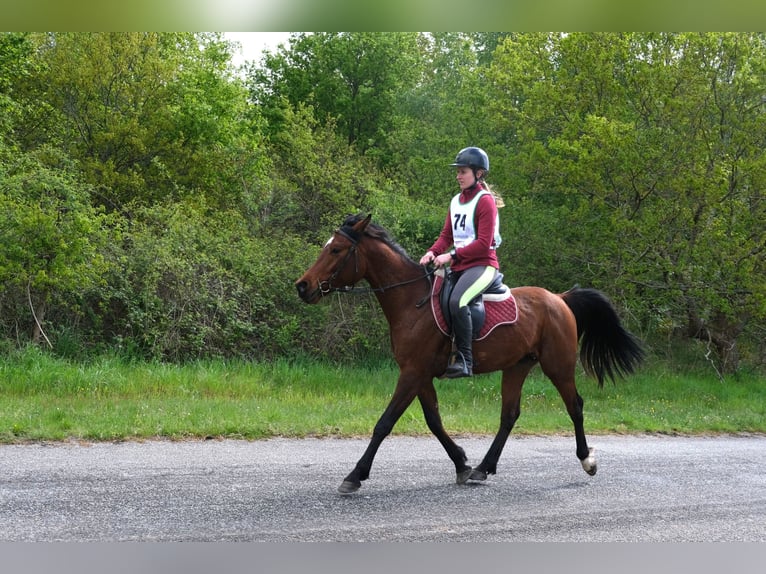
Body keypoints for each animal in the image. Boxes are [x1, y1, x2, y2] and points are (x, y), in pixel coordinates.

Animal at [296, 214, 644, 498]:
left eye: (336, 250)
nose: (302, 286)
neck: (411, 303)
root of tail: (559, 299)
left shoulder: (412, 373)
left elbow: (385, 422)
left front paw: (355, 475)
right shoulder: (419, 374)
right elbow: (434, 421)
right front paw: (462, 463)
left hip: (557, 365)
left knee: (575, 406)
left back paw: (587, 459)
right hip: (517, 366)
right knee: (509, 415)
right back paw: (483, 468)